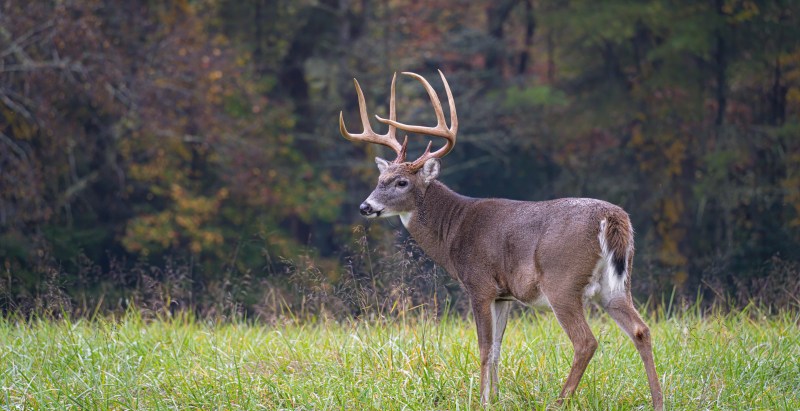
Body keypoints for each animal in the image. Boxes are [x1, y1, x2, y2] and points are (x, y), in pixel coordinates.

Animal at [338, 70, 664, 410]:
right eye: (380, 179)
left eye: (401, 182)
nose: (365, 206)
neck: (453, 228)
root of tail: (612, 217)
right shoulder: (503, 295)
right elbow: (496, 348)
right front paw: (494, 397)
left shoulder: (479, 284)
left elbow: (483, 347)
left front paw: (481, 401)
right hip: (616, 284)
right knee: (641, 330)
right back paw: (658, 401)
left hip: (562, 281)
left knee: (586, 341)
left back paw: (558, 401)